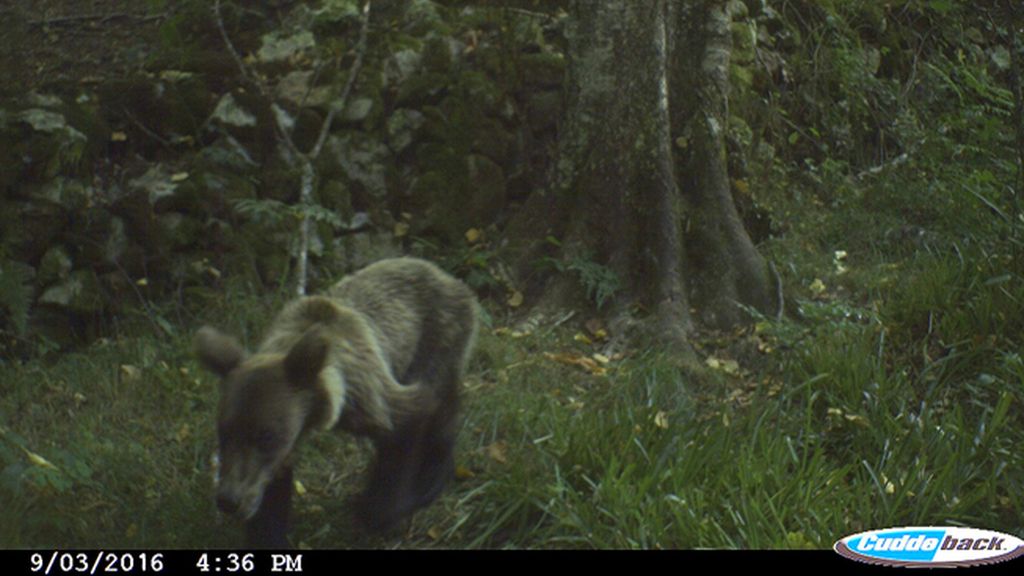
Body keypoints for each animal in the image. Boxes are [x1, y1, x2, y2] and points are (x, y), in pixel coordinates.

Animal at [194, 256, 479, 545]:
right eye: (224, 432)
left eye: (265, 436)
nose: (228, 500)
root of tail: (446, 275)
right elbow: (272, 487)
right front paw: (268, 533)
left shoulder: (370, 395)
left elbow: (407, 426)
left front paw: (378, 512)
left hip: (439, 340)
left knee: (443, 407)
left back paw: (432, 478)